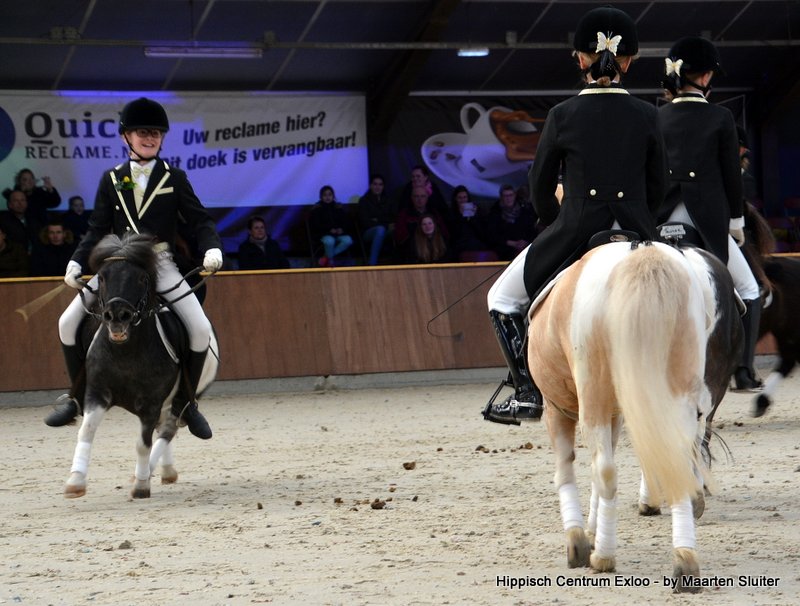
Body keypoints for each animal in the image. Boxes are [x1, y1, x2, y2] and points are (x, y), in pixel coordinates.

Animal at [64, 233, 219, 499]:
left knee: (167, 430)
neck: (125, 352)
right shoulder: (97, 393)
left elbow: (142, 443)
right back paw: (166, 471)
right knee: (163, 429)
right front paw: (76, 480)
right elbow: (87, 430)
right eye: (102, 277)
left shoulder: (151, 403)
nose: (117, 316)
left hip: (183, 397)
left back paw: (147, 471)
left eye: (141, 277)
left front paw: (141, 484)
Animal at [528, 238, 741, 591]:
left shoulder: (557, 408)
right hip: (678, 390)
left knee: (606, 472)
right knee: (678, 460)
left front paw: (579, 541)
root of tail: (641, 252)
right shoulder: (617, 413)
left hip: (595, 395)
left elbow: (567, 470)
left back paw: (604, 557)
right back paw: (685, 561)